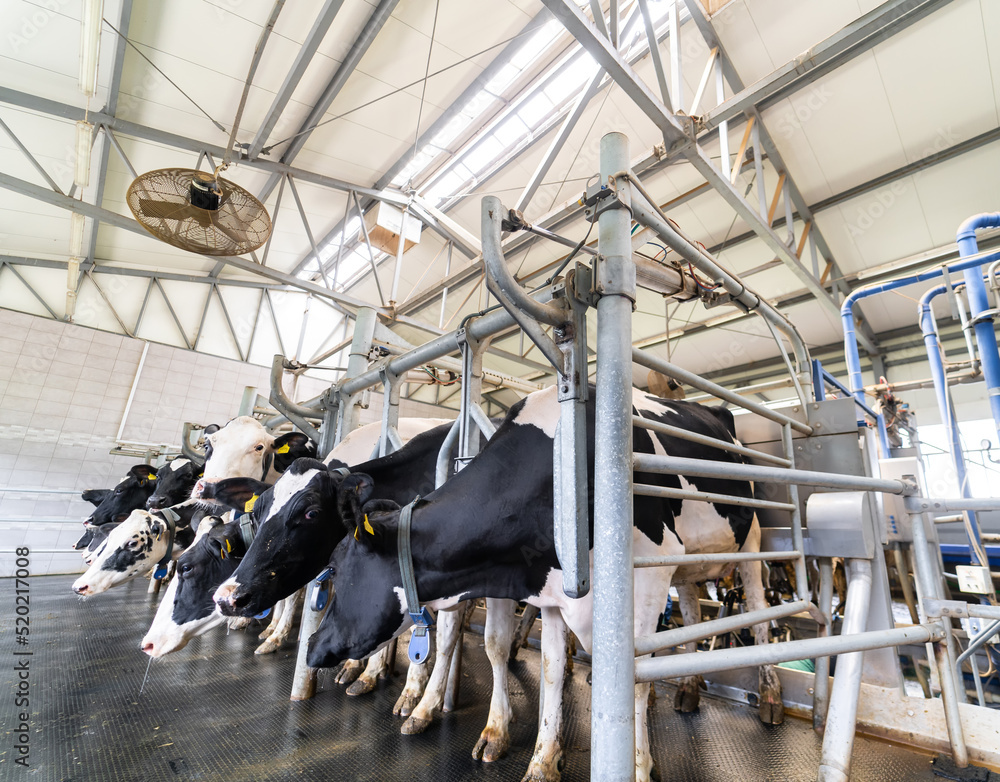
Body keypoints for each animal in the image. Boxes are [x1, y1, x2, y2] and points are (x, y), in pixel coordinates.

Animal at [294, 386, 772, 782]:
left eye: (341, 568)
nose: (314, 646)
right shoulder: (553, 592)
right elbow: (551, 668)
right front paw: (543, 760)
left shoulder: (650, 573)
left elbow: (633, 678)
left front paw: (638, 766)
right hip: (691, 562)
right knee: (690, 610)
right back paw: (688, 689)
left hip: (749, 543)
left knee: (760, 614)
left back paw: (768, 696)